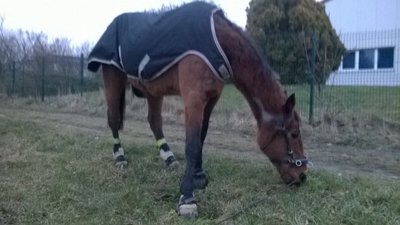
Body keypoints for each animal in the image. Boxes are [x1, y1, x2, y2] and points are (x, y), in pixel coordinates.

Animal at [90, 2, 306, 220]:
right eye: (294, 134)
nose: (302, 175)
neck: (216, 41)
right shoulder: (193, 98)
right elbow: (192, 145)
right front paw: (187, 197)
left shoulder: (211, 99)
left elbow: (201, 136)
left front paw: (198, 176)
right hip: (113, 80)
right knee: (114, 119)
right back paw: (120, 157)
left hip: (153, 91)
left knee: (154, 121)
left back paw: (169, 158)